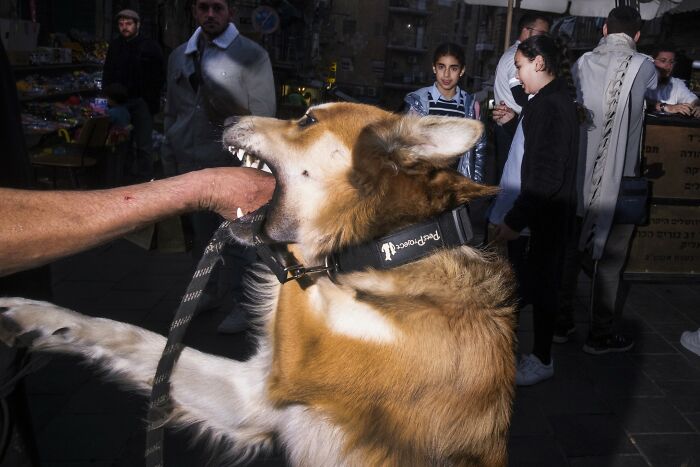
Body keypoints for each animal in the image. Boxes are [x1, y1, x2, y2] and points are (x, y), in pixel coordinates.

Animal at [0, 103, 516, 467]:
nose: (227, 117)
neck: (385, 250)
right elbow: (139, 340)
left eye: (307, 118)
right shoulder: (253, 399)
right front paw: (38, 318)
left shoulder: (281, 375)